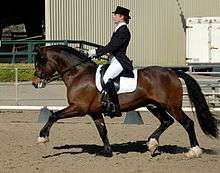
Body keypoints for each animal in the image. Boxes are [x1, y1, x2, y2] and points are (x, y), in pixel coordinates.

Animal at [31, 45, 219, 158]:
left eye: (40, 61)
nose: (35, 83)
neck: (79, 74)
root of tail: (173, 72)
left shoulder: (79, 108)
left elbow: (54, 116)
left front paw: (42, 137)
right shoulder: (94, 112)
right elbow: (102, 131)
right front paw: (107, 152)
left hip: (172, 106)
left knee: (187, 123)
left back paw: (194, 151)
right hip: (153, 105)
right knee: (167, 121)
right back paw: (152, 144)